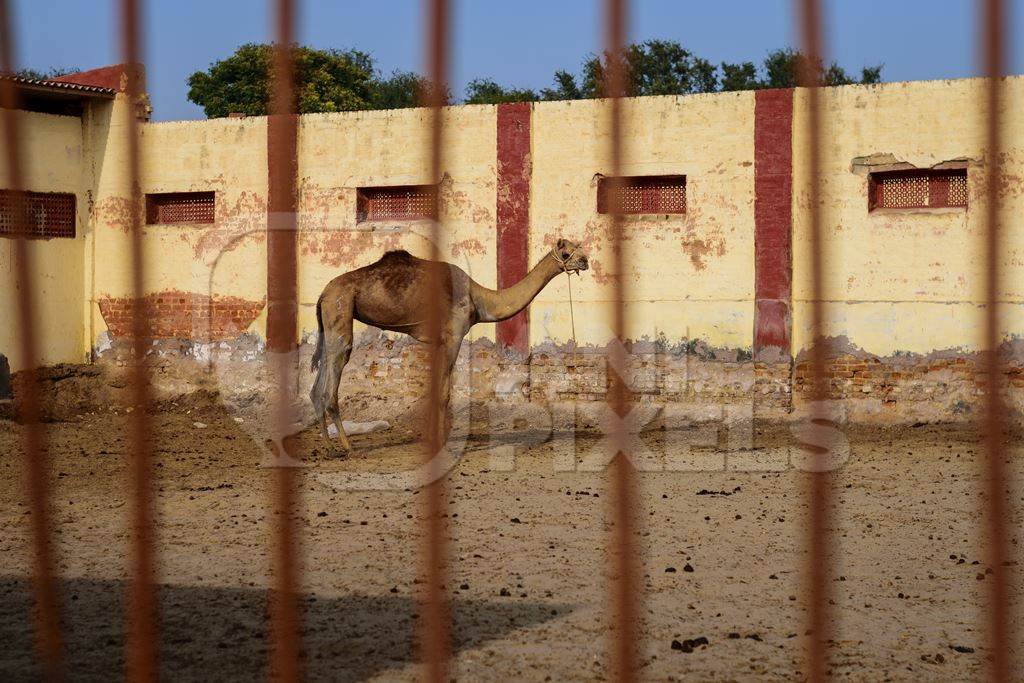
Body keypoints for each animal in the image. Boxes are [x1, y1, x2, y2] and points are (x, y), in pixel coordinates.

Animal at [307, 240, 589, 454]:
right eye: (567, 252)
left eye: (578, 247)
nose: (585, 260)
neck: (480, 299)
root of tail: (322, 294)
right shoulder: (454, 334)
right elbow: (444, 394)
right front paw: (443, 444)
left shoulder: (439, 340)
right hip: (340, 306)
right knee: (333, 376)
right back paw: (346, 447)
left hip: (330, 318)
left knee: (317, 383)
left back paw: (328, 445)